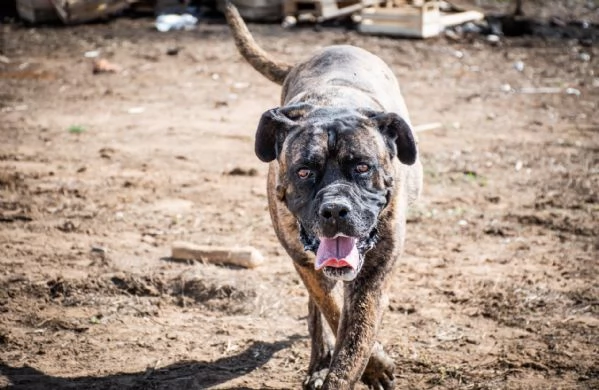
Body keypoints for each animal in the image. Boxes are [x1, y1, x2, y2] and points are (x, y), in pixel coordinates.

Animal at [223, 3, 424, 390]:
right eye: (304, 172)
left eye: (362, 167)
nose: (335, 210)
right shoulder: (306, 262)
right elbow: (332, 311)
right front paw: (371, 364)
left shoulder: (375, 271)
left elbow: (354, 337)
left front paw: (364, 363)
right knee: (317, 310)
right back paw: (318, 361)